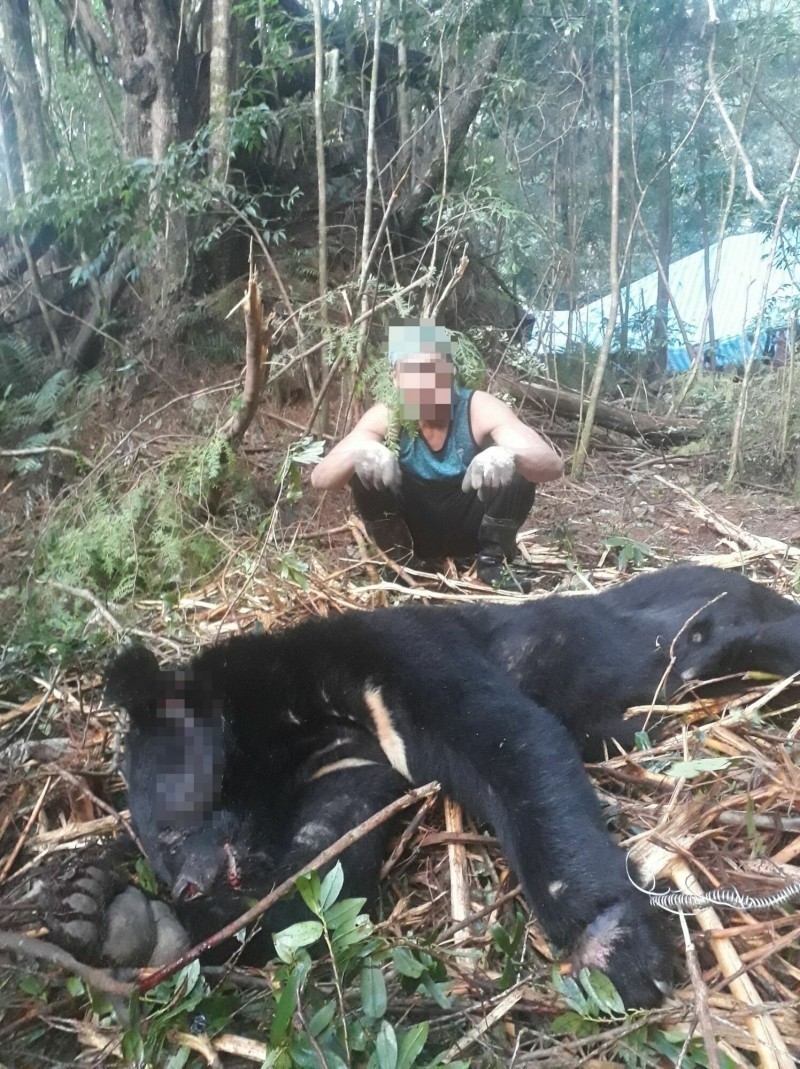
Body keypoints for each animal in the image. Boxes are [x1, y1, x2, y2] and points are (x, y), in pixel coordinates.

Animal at [45, 564, 800, 1004]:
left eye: (169, 824)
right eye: (155, 848)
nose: (185, 884)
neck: (305, 720)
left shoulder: (401, 651)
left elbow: (510, 738)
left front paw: (616, 948)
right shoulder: (347, 767)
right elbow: (323, 870)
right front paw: (108, 913)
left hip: (745, 631)